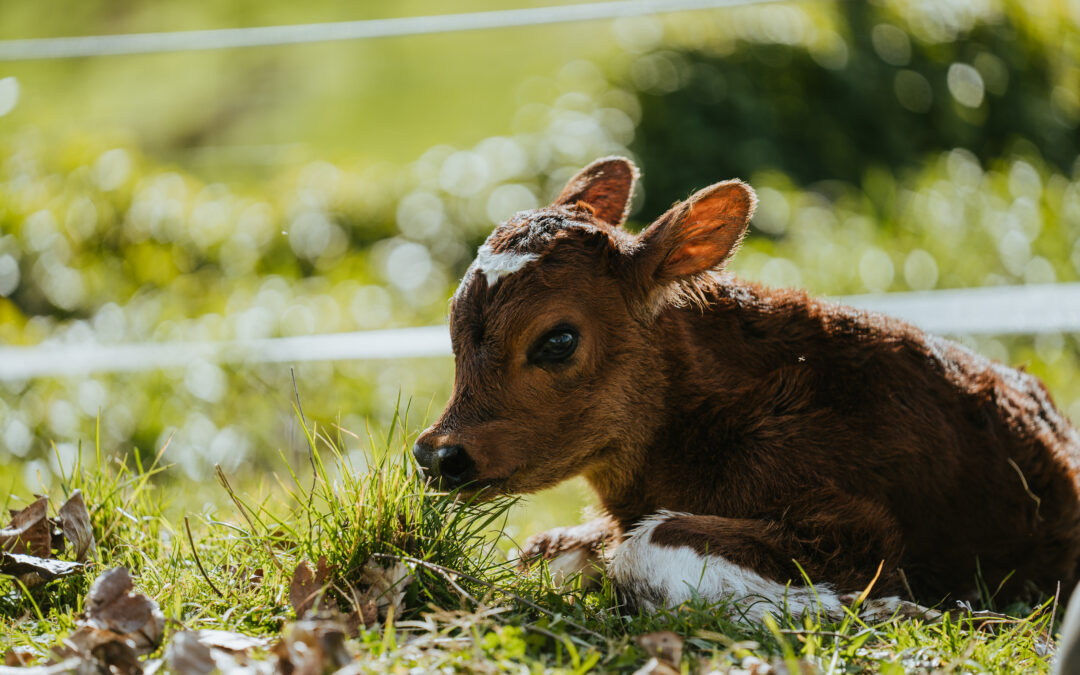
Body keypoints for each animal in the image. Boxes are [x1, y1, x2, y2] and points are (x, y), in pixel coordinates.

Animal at [412, 155, 1080, 617]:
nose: (437, 454)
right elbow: (548, 552)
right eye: (451, 323)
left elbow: (644, 547)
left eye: (557, 340)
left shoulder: (857, 532)